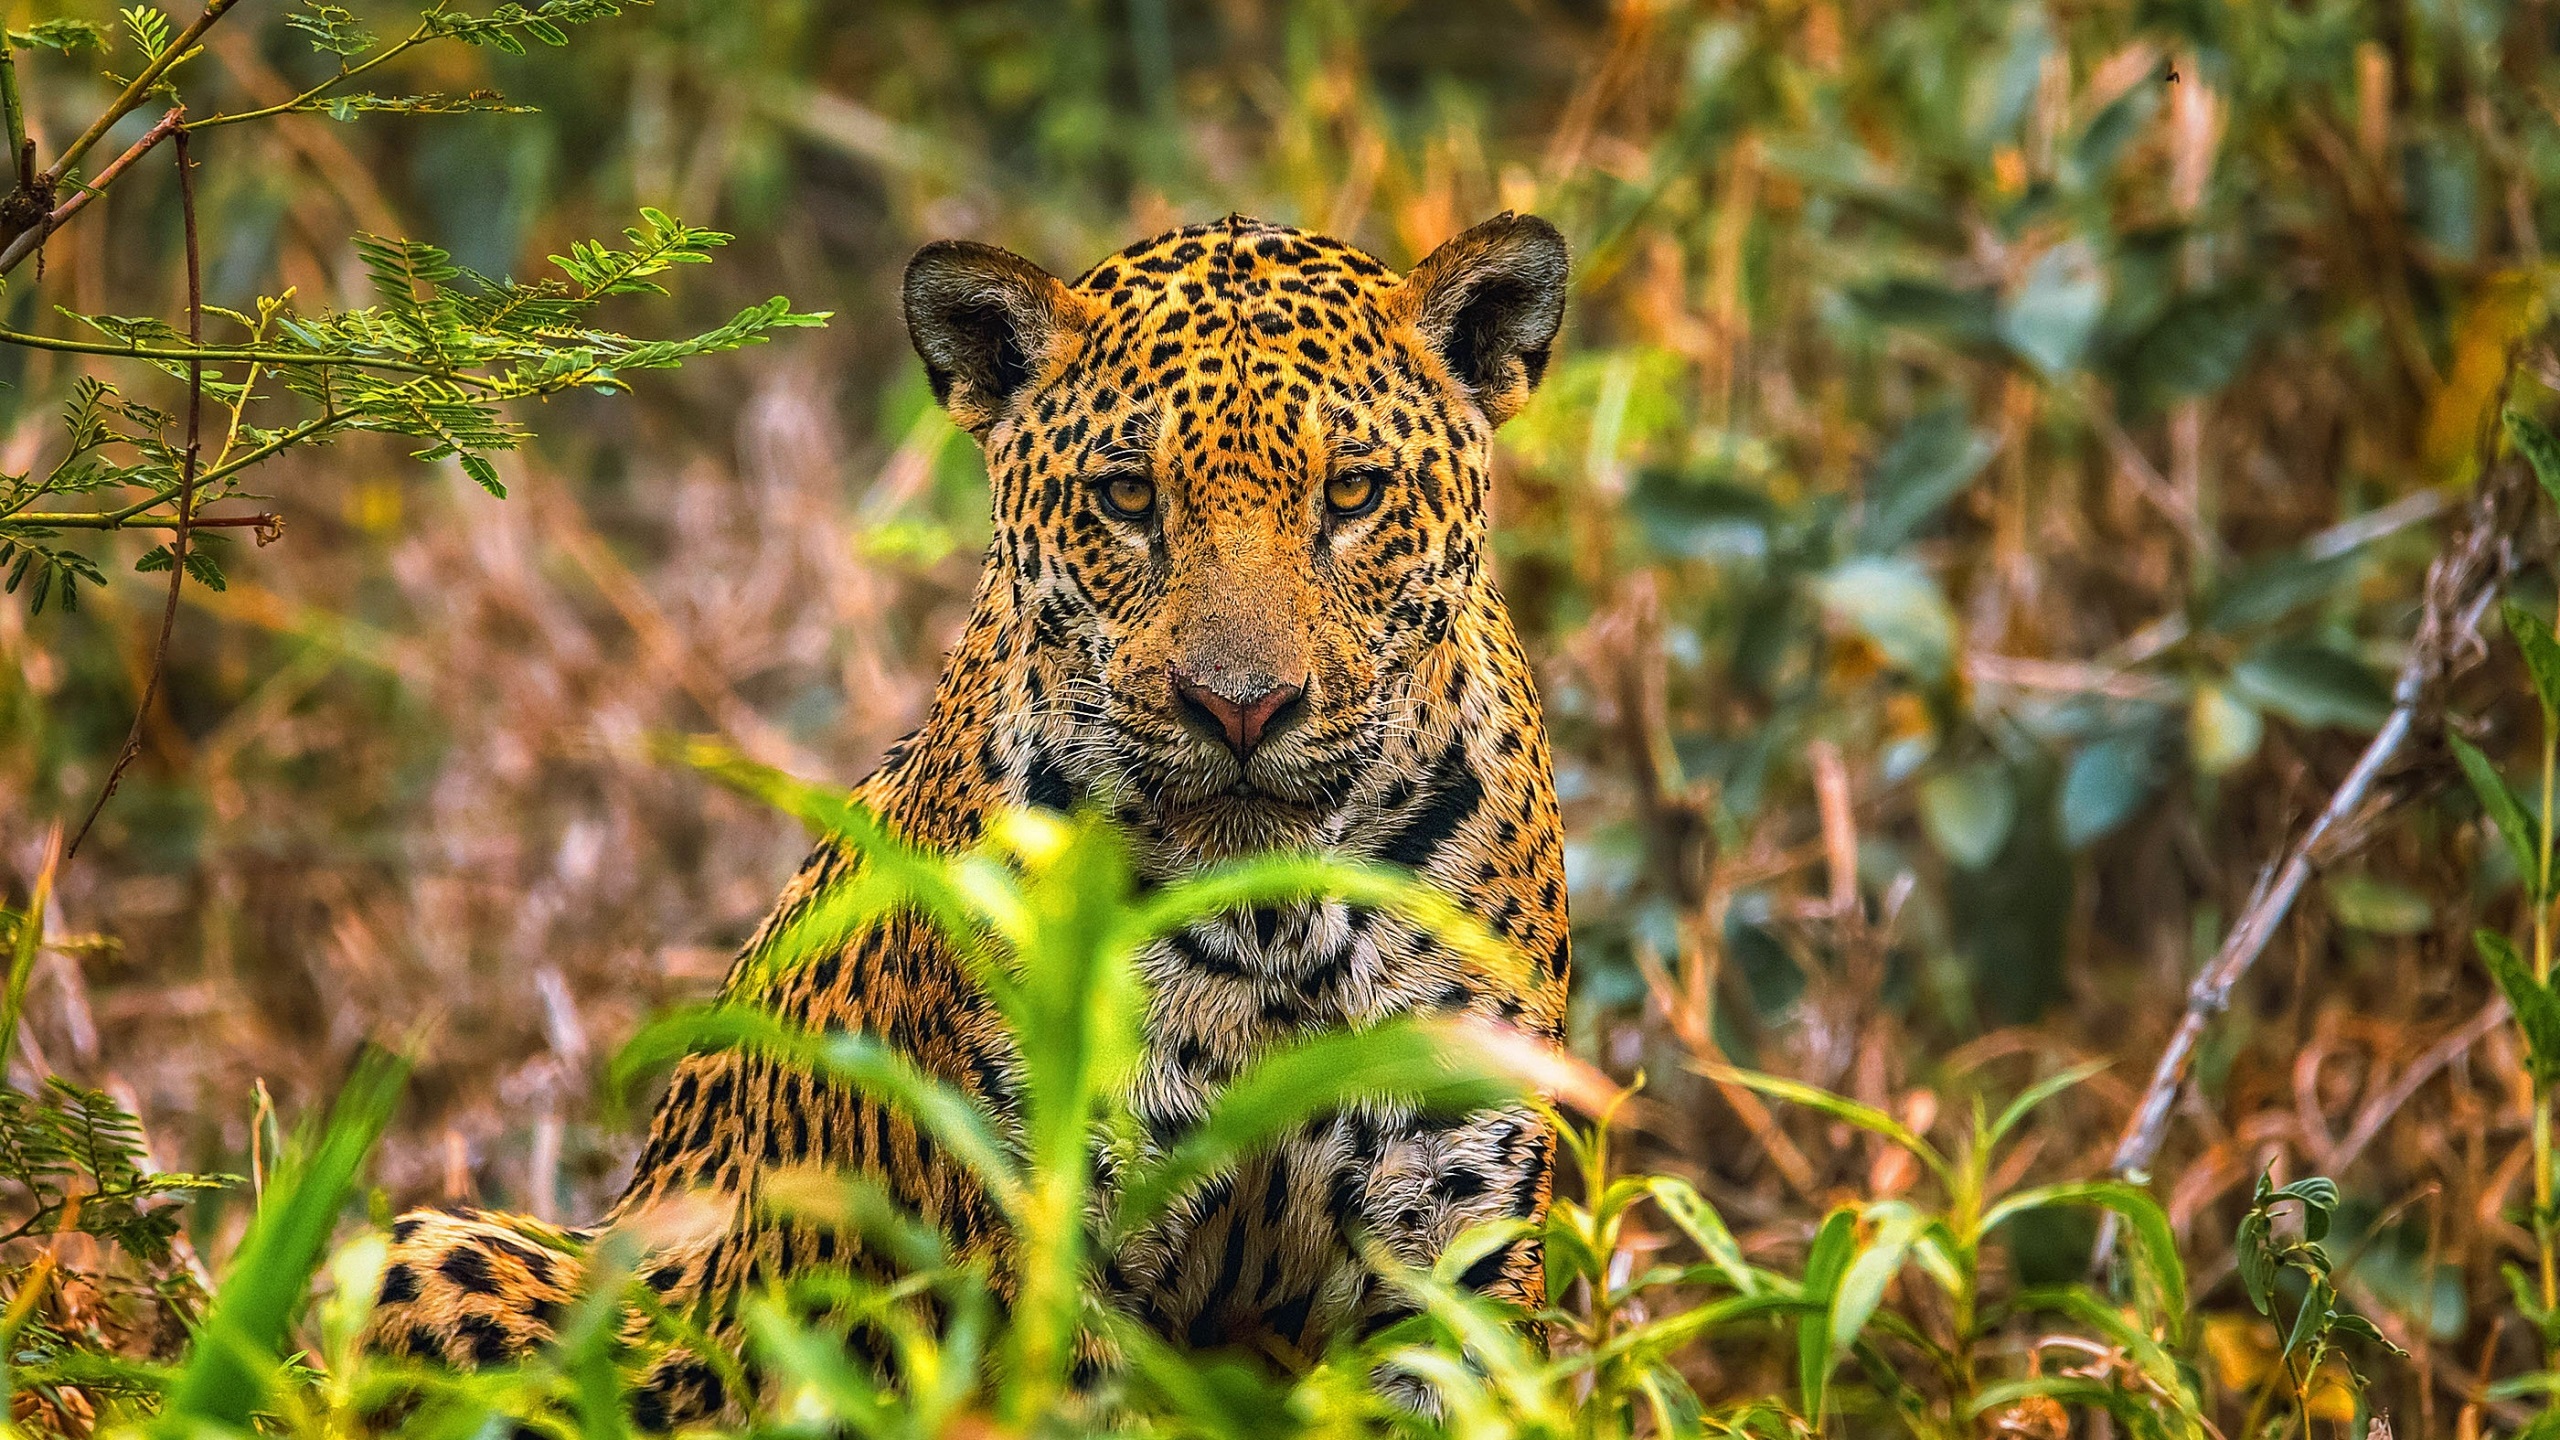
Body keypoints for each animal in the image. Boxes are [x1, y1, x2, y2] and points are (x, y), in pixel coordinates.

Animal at [360, 211, 1574, 1426]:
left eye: (1354, 494)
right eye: (1127, 498)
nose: (1241, 706)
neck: (1266, 927)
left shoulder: (1451, 1245)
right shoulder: (1044, 1250)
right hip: (445, 1255)